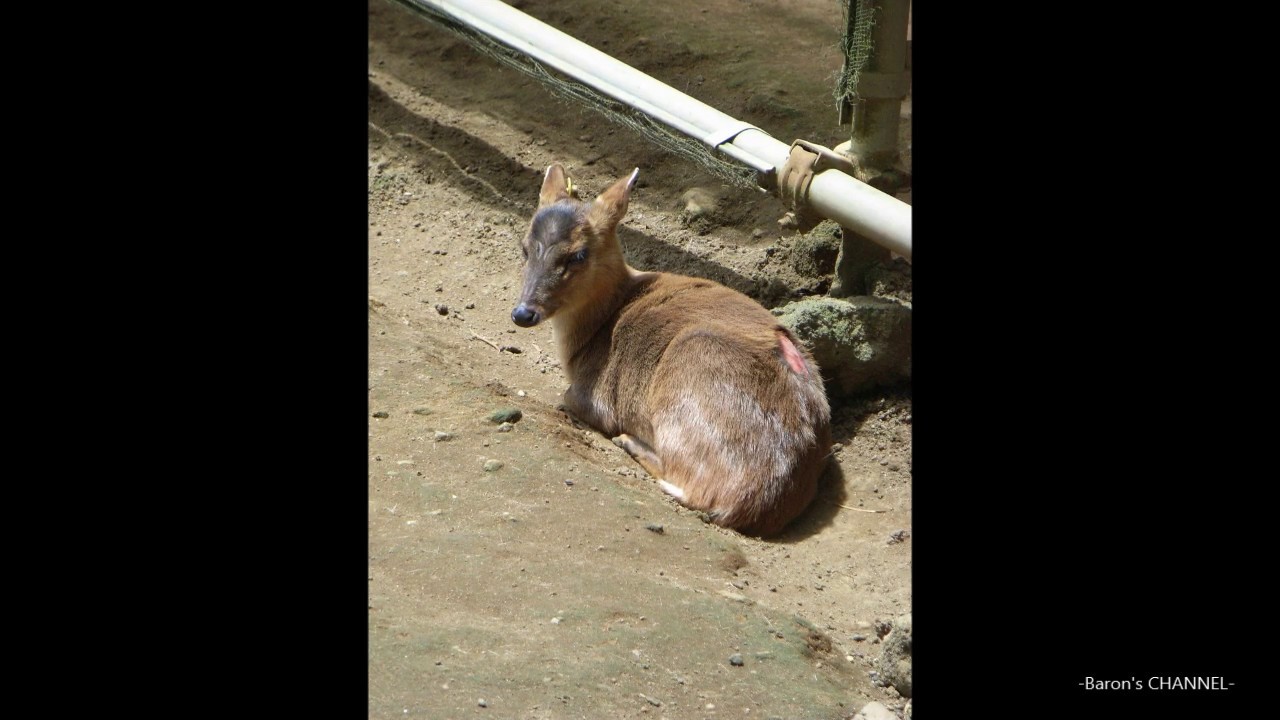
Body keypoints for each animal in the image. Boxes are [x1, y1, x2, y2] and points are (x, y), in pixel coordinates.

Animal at [514, 162, 834, 532]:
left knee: (689, 485)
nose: (523, 313)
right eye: (525, 247)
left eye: (578, 254)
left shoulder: (594, 397)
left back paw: (628, 442)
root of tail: (753, 505)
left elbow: (568, 398)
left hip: (687, 382)